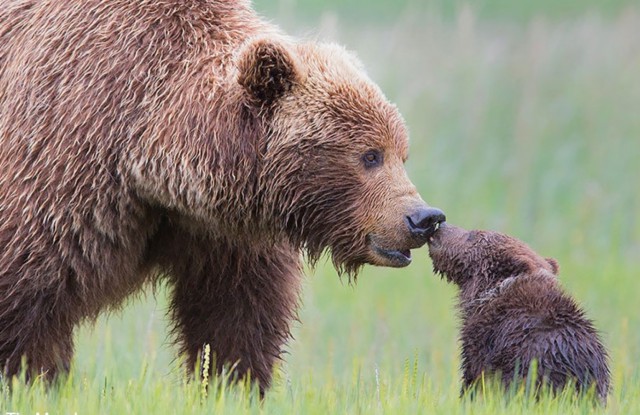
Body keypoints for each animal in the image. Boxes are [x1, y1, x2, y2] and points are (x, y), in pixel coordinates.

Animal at [0, 0, 444, 392]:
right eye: (370, 155)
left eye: (401, 153)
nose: (424, 217)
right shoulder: (65, 165)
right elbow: (28, 296)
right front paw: (31, 380)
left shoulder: (224, 233)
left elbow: (236, 315)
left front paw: (231, 383)